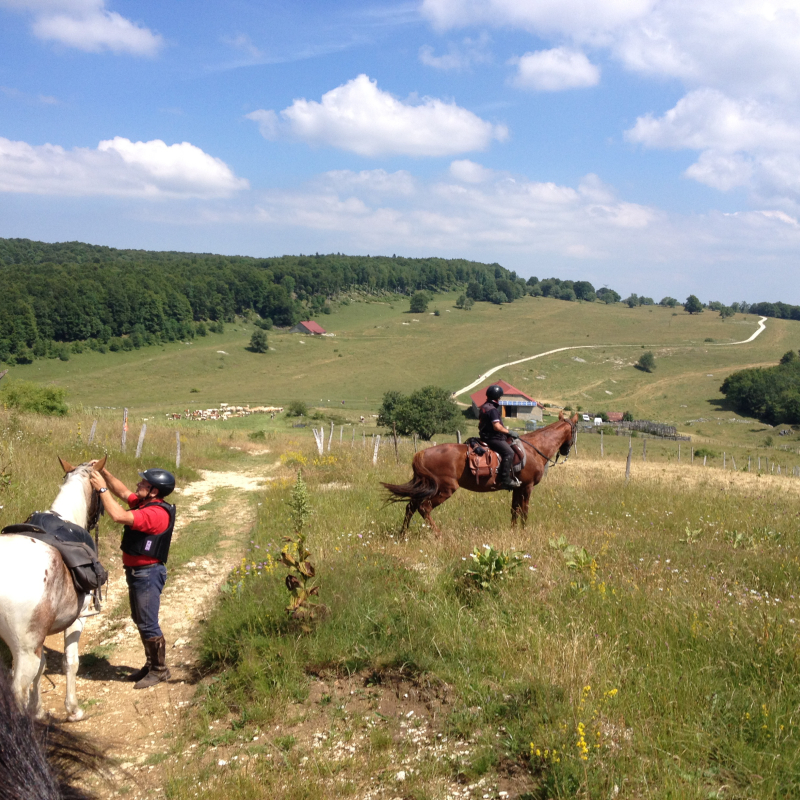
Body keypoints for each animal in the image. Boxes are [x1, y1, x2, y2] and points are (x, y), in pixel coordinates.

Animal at [0, 456, 105, 724]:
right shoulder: (78, 619)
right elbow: (71, 662)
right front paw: (73, 710)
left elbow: (43, 667)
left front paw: (37, 709)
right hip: (25, 650)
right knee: (17, 690)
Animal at [382, 410, 576, 536]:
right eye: (575, 430)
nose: (566, 451)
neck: (533, 449)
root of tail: (421, 454)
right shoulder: (527, 487)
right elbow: (524, 511)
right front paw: (523, 531)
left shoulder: (517, 488)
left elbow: (514, 510)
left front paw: (513, 531)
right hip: (444, 489)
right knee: (424, 508)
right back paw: (438, 535)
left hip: (426, 487)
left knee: (411, 506)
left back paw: (402, 534)